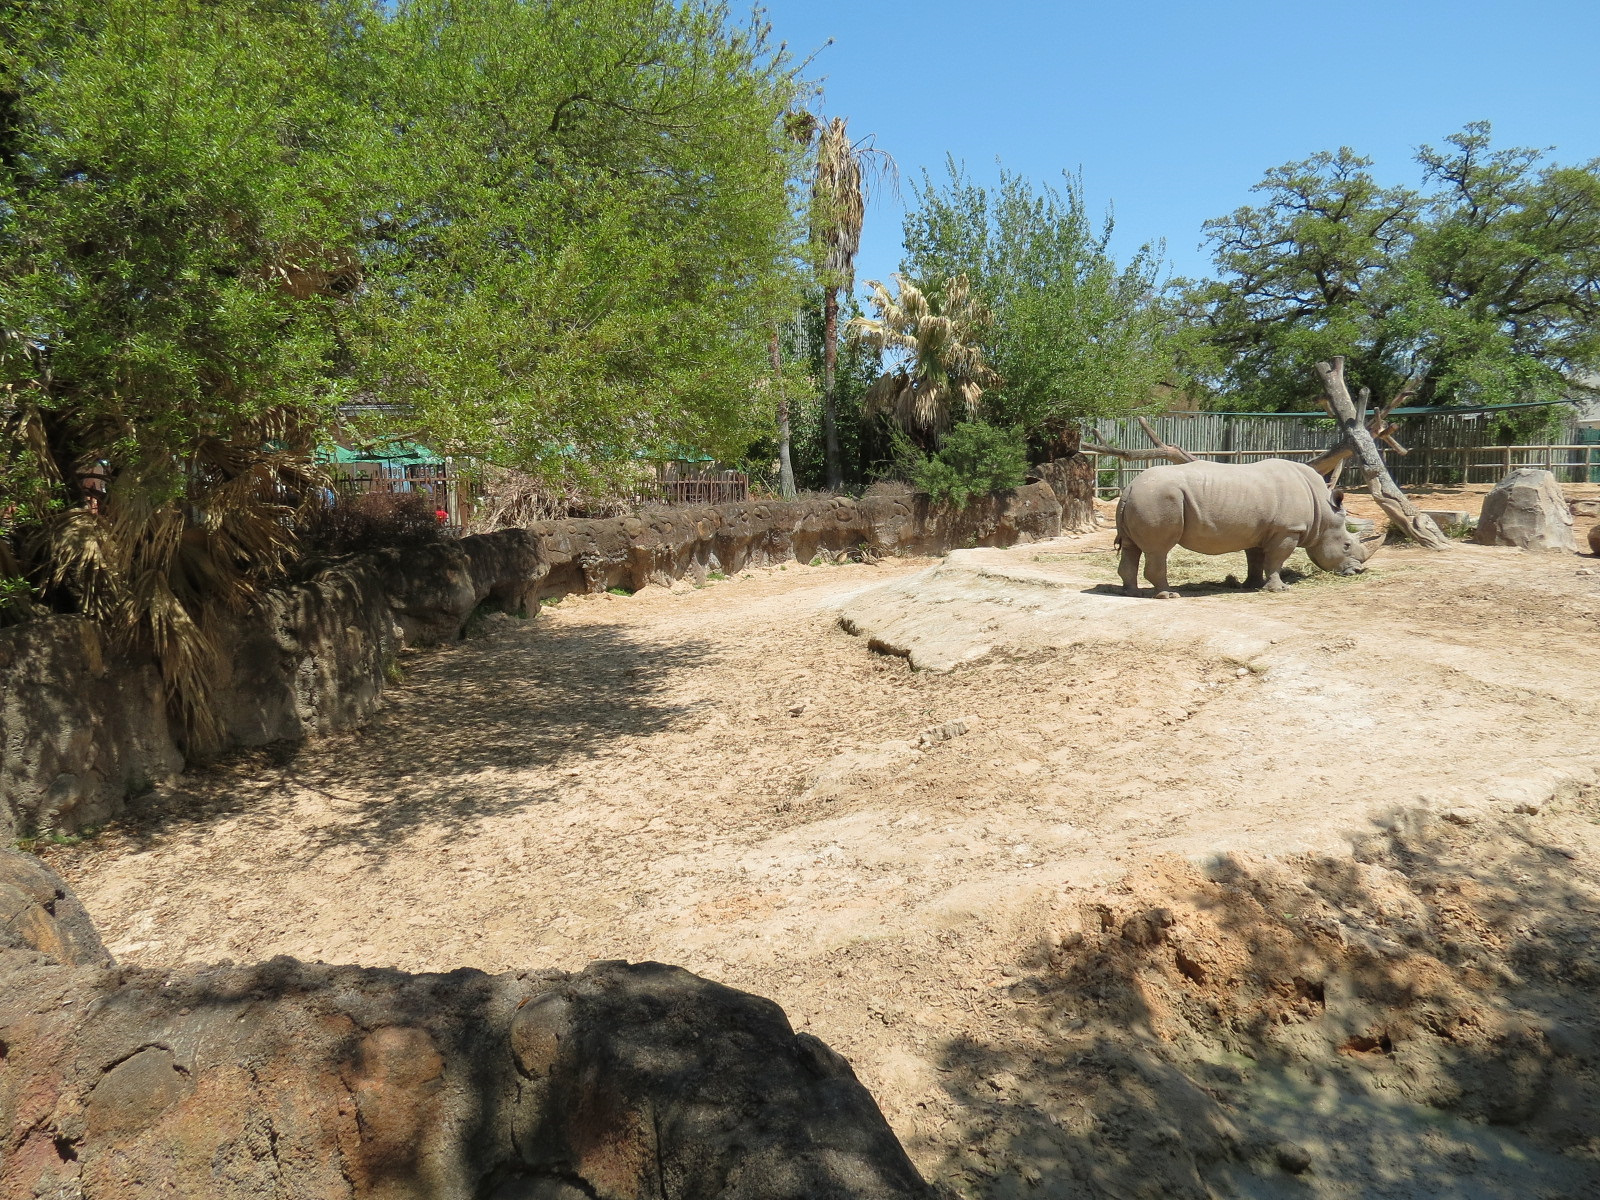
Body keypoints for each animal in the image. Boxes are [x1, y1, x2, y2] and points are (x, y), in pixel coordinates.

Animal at [1114, 458, 1375, 598]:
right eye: (1346, 545)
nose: (1358, 571)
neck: (1323, 511)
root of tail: (1130, 486)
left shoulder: (1261, 531)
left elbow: (1256, 559)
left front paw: (1253, 585)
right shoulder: (1288, 530)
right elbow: (1276, 560)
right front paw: (1279, 589)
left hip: (1145, 497)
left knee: (1131, 547)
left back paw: (1132, 593)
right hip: (1159, 498)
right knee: (1158, 550)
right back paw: (1168, 595)